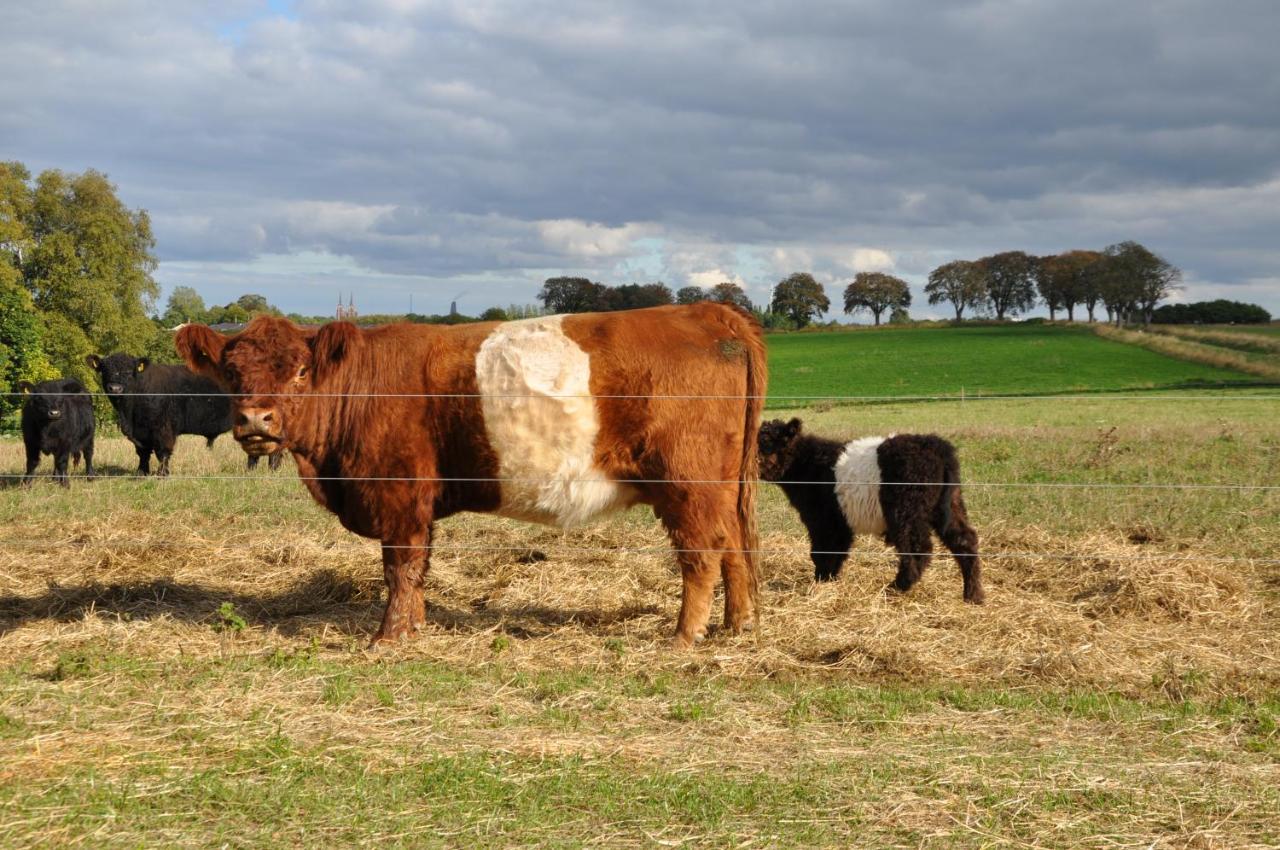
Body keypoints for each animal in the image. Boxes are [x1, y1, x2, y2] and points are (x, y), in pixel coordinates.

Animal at [86, 350, 284, 473]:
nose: (115, 388)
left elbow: (163, 452)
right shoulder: (140, 433)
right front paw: (141, 472)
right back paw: (251, 470)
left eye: (129, 371)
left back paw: (272, 470)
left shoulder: (163, 429)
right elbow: (142, 453)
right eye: (104, 370)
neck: (129, 413)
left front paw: (162, 474)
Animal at [175, 308, 762, 647]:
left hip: (687, 483)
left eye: (300, 370)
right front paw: (415, 627)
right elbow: (417, 569)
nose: (256, 420)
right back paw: (737, 626)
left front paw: (388, 639)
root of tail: (707, 310)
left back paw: (683, 637)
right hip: (722, 487)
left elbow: (401, 567)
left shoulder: (399, 494)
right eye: (231, 373)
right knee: (733, 547)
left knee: (701, 554)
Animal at [762, 417, 983, 604]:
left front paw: (820, 582)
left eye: (766, 443)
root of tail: (936, 446)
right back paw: (973, 595)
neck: (807, 465)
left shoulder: (823, 521)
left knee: (918, 548)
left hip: (906, 511)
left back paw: (896, 587)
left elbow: (822, 552)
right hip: (950, 505)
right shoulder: (840, 523)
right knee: (965, 540)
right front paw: (829, 581)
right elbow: (837, 552)